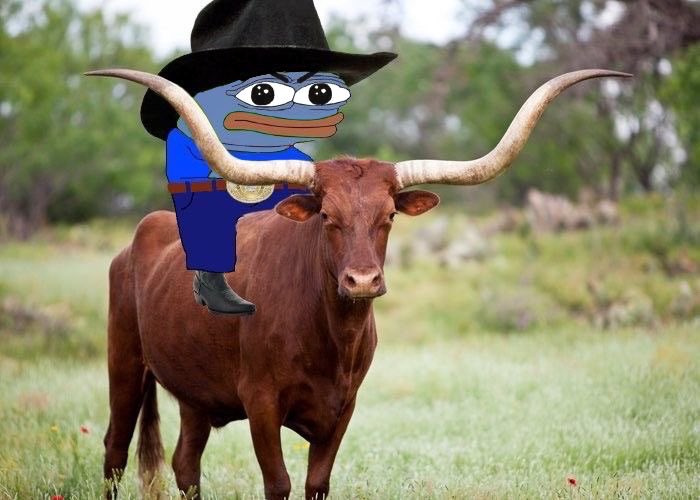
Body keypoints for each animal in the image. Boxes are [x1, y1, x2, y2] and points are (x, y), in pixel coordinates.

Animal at [91, 68, 629, 500]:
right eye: (327, 216)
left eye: (389, 215)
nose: (363, 280)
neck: (330, 336)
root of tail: (141, 234)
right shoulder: (260, 401)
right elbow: (278, 483)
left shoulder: (344, 406)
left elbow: (316, 483)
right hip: (125, 363)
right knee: (115, 450)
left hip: (196, 396)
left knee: (185, 465)